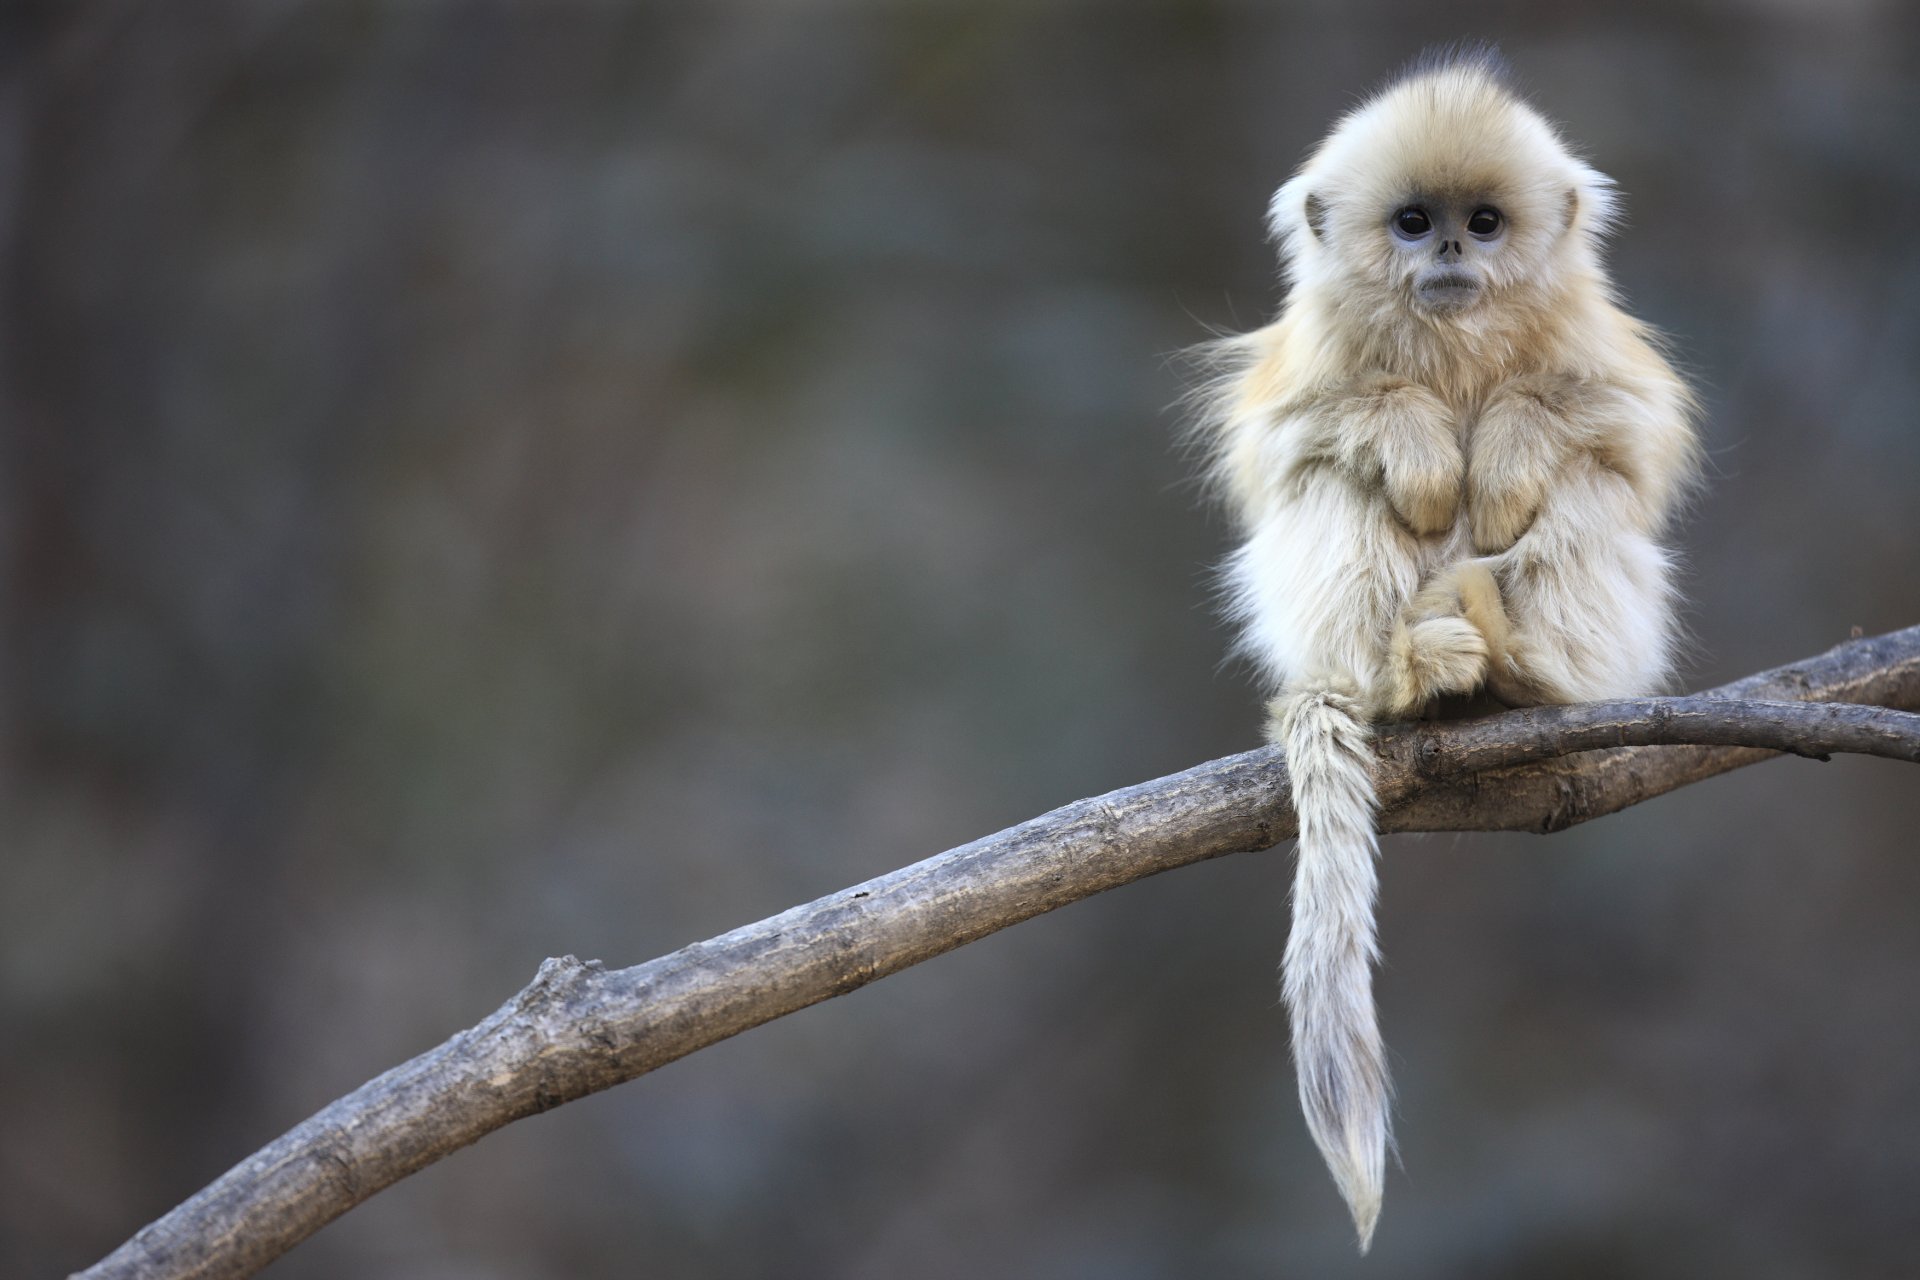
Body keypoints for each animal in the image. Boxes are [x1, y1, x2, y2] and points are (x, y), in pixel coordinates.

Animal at [1192, 49, 1699, 1251]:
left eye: (1485, 221)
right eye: (1414, 222)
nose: (1454, 256)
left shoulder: (1598, 349)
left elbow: (1626, 432)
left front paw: (1506, 451)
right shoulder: (1309, 363)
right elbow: (1294, 442)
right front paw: (1421, 448)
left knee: (1588, 485)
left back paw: (1520, 667)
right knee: (1334, 485)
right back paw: (1408, 674)